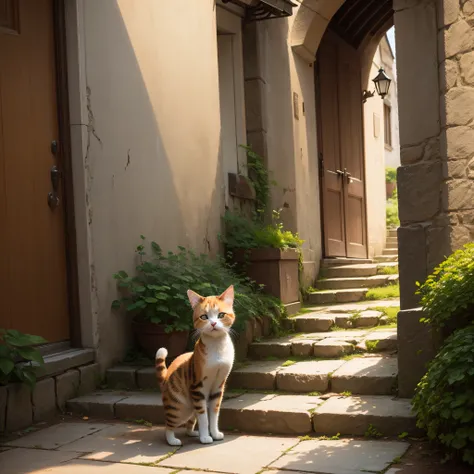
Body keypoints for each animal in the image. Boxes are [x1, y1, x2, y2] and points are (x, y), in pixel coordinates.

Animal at [156, 286, 236, 446]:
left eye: (221, 315)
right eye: (204, 317)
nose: (213, 324)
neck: (217, 347)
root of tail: (165, 377)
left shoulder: (218, 386)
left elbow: (214, 415)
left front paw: (215, 433)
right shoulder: (198, 388)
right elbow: (204, 418)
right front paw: (205, 437)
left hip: (190, 408)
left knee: (190, 422)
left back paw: (192, 433)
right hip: (178, 408)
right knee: (168, 424)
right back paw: (173, 440)